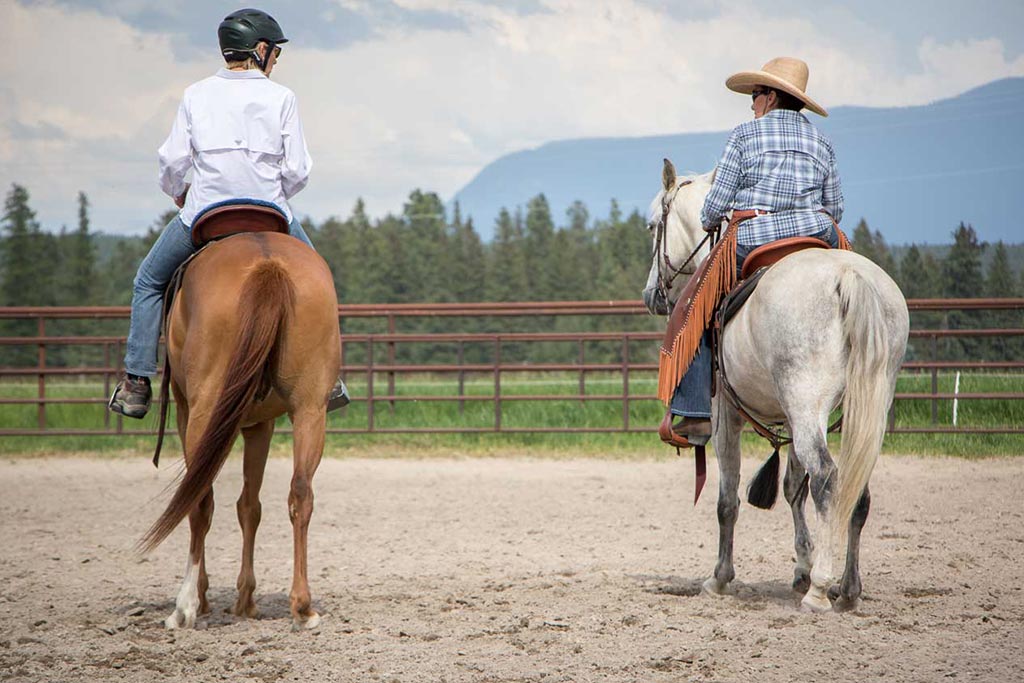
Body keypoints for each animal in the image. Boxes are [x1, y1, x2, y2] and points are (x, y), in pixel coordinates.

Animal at [141, 233, 339, 630]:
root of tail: (268, 265)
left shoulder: (186, 411)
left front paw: (207, 598)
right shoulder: (261, 424)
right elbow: (250, 506)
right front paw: (245, 599)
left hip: (203, 410)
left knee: (198, 498)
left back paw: (185, 605)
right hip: (310, 409)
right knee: (301, 493)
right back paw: (303, 607)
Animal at [643, 162, 909, 610]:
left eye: (651, 226)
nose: (652, 295)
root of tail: (849, 276)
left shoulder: (725, 416)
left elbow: (728, 499)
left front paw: (720, 578)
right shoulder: (793, 415)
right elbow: (791, 488)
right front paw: (801, 567)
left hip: (805, 400)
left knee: (826, 478)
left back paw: (820, 590)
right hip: (861, 403)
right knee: (854, 486)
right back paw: (848, 589)